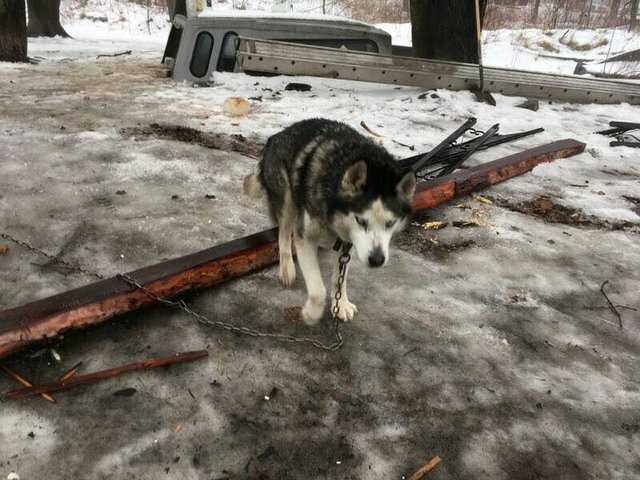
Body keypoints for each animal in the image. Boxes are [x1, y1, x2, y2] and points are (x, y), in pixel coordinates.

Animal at [242, 118, 418, 324]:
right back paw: (286, 268)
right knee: (284, 233)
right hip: (286, 200)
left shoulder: (349, 243)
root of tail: (277, 135)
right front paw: (311, 314)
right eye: (360, 220)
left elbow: (339, 277)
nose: (376, 260)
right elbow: (318, 290)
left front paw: (340, 304)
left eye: (390, 223)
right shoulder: (306, 237)